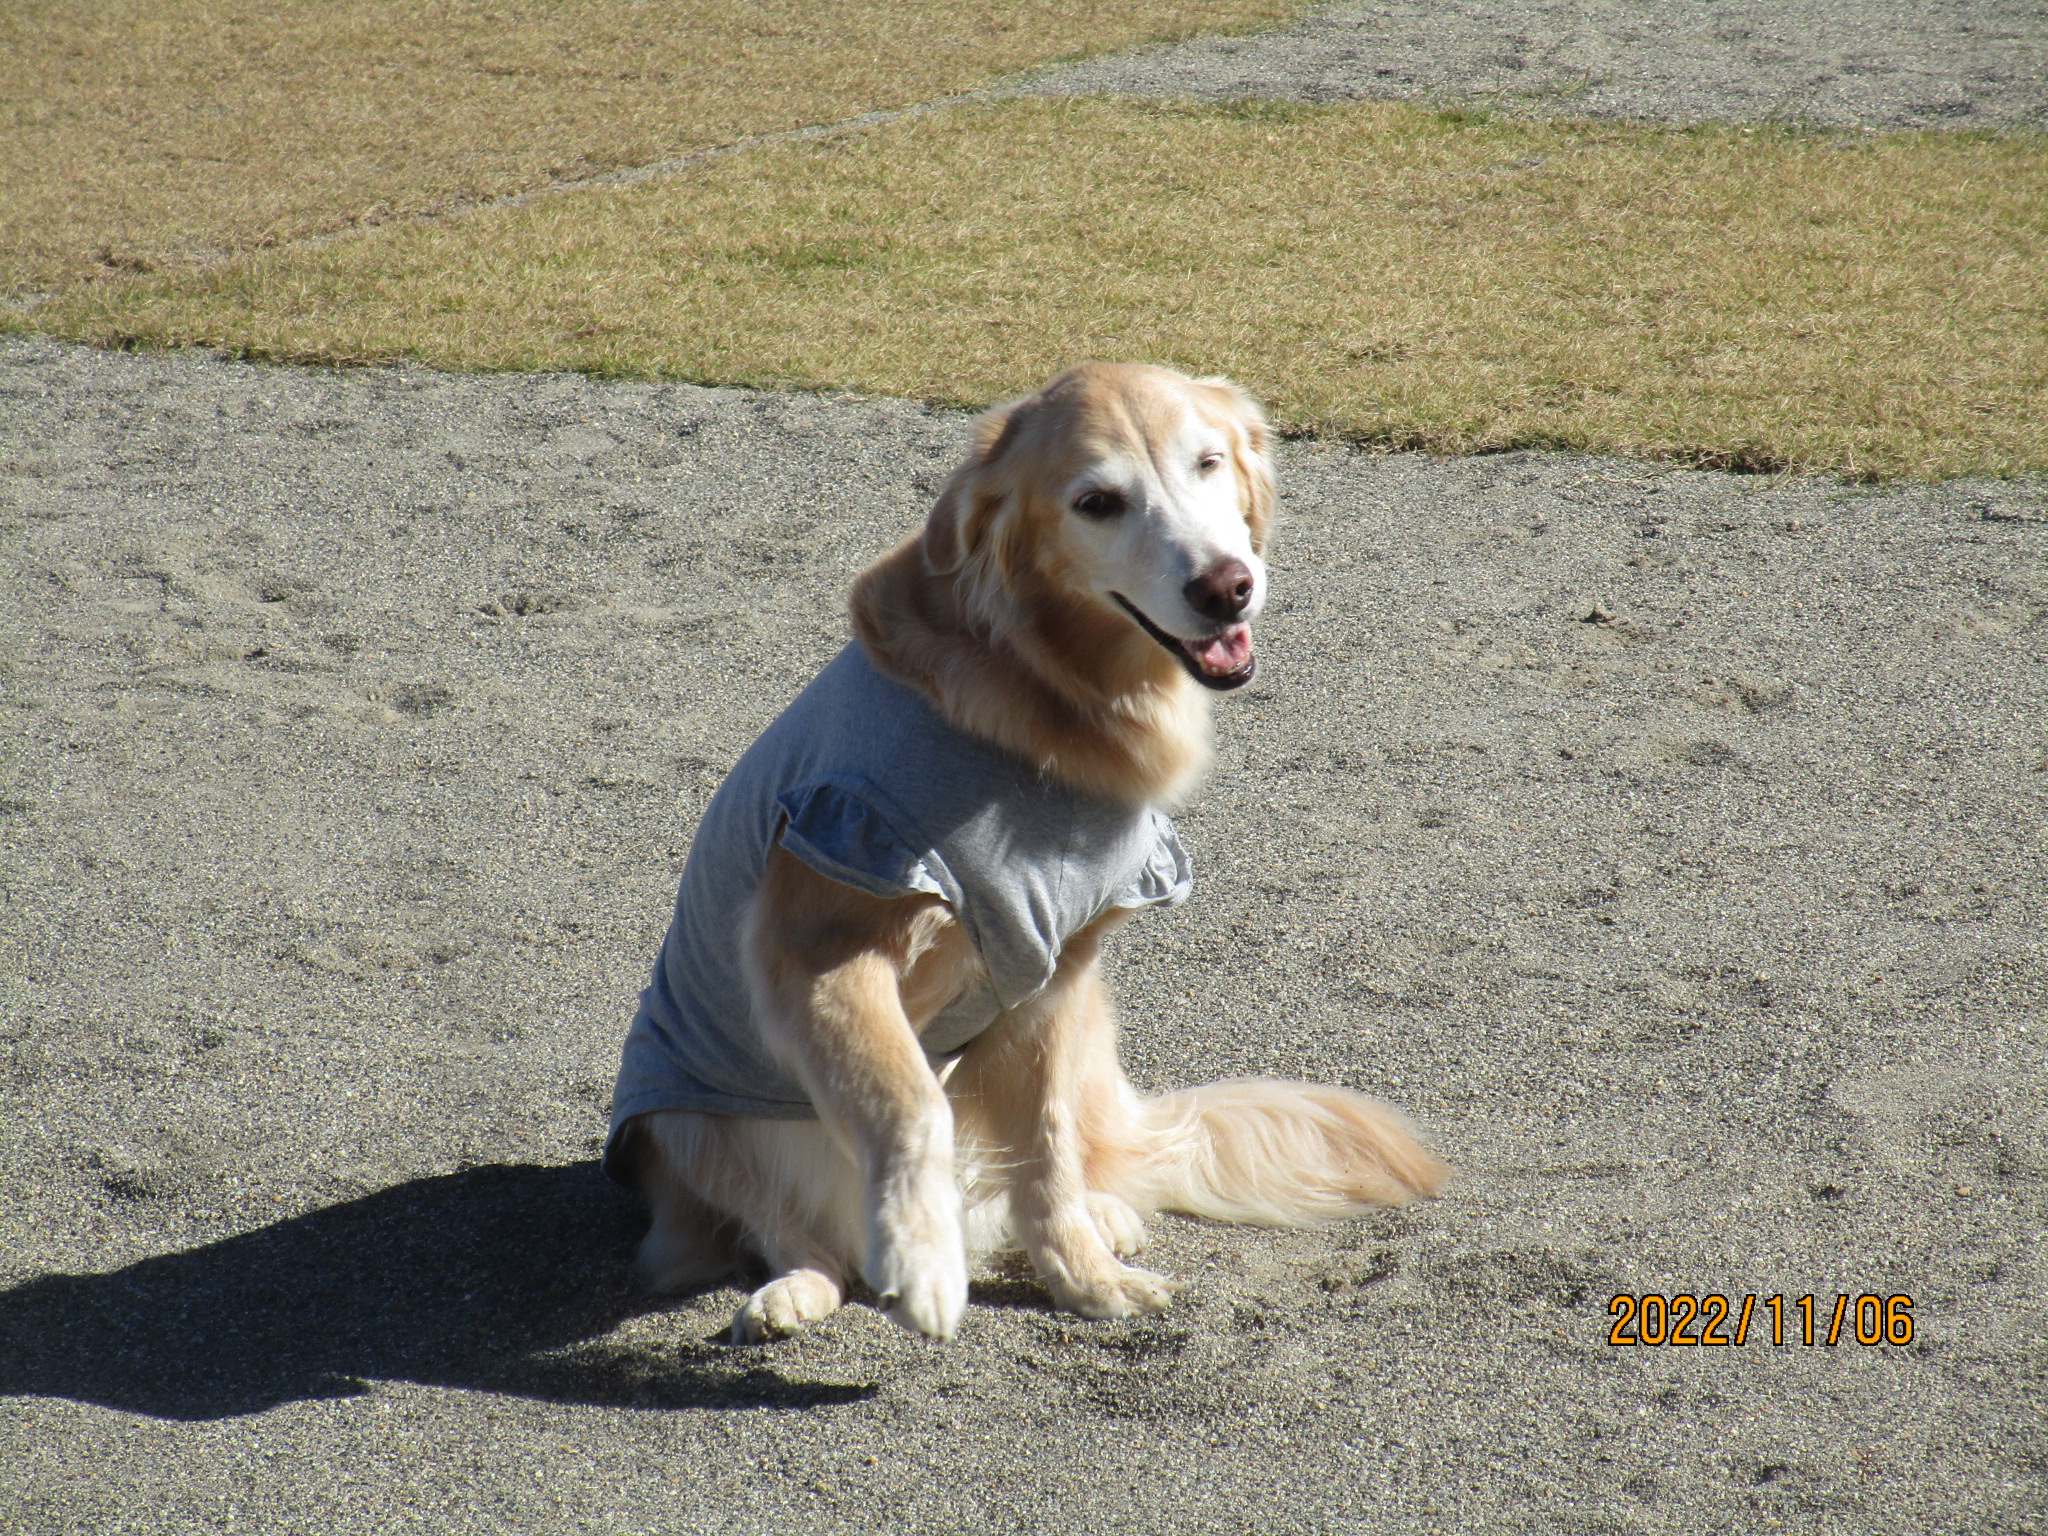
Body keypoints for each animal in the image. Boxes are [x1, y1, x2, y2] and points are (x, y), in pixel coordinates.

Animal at [598, 364, 1449, 1343]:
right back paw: (802, 1288)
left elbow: (1044, 1152)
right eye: (1097, 503)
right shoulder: (819, 942)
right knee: (793, 1236)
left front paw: (1083, 1279)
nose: (1226, 587)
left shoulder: (1052, 976)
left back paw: (1099, 1220)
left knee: (1077, 1162)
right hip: (683, 1117)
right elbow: (911, 1102)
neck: (1040, 698)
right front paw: (923, 1261)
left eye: (1207, 462)